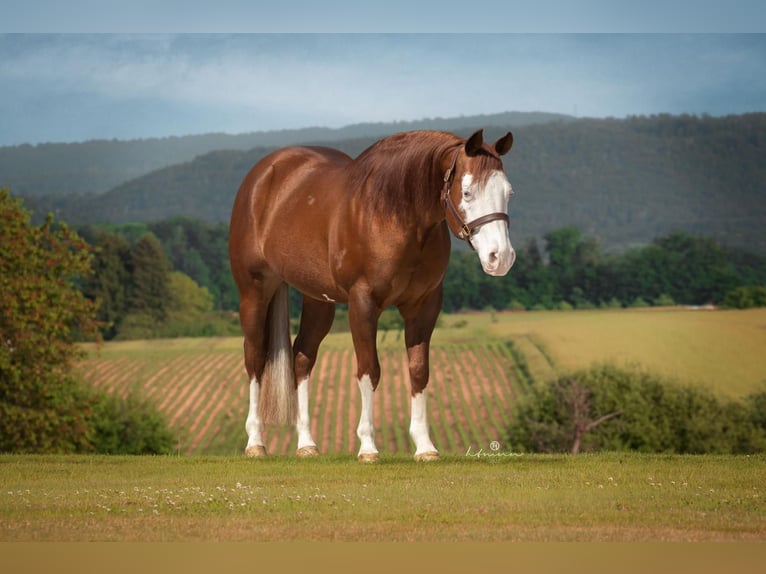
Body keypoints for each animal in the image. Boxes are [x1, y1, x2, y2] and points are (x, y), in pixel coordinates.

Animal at [228, 129, 516, 464]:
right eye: (467, 192)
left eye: (508, 193)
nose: (501, 258)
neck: (395, 215)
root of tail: (263, 174)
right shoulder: (363, 303)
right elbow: (369, 370)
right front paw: (367, 446)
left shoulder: (424, 306)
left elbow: (419, 371)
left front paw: (425, 446)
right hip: (254, 292)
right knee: (255, 358)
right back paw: (255, 442)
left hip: (319, 301)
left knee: (302, 357)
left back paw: (306, 444)